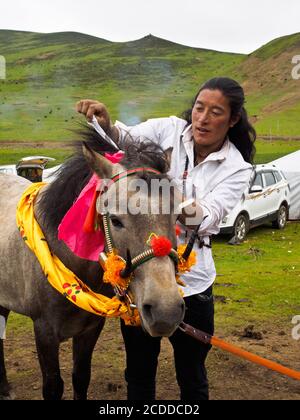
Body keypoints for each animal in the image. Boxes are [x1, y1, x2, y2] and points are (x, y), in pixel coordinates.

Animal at [0, 129, 186, 400]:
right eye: (116, 220)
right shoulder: (44, 331)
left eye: (176, 216)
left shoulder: (90, 328)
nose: (166, 311)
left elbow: (81, 377)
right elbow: (53, 386)